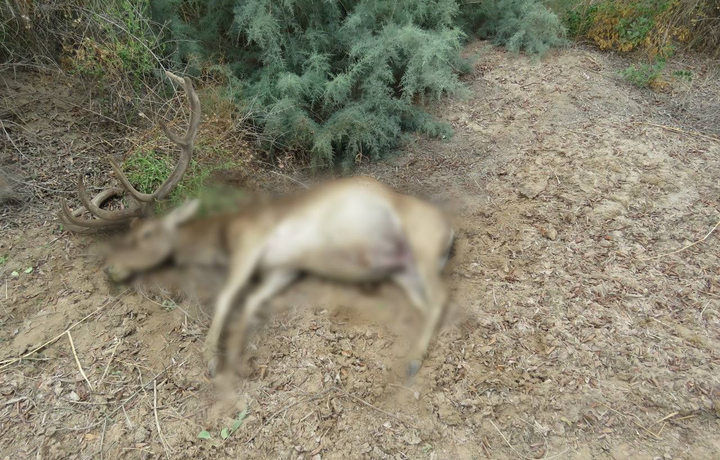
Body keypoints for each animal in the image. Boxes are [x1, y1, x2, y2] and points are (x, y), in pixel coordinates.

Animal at [60, 70, 456, 378]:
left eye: (144, 233)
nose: (110, 269)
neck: (223, 237)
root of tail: (451, 232)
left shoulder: (250, 241)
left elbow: (226, 296)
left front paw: (211, 359)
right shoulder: (283, 268)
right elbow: (251, 301)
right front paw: (236, 353)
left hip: (421, 239)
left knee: (442, 296)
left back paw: (413, 362)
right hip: (402, 269)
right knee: (428, 304)